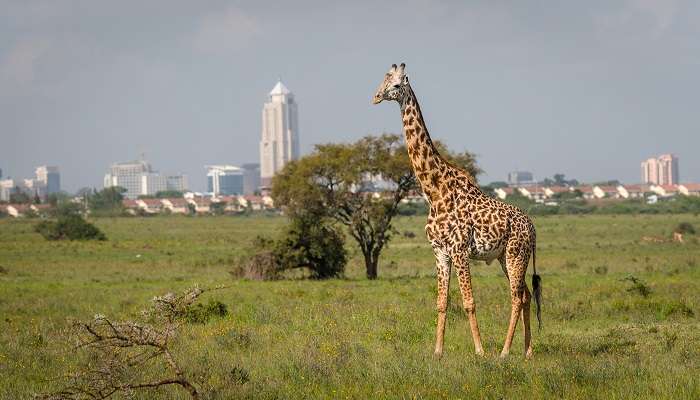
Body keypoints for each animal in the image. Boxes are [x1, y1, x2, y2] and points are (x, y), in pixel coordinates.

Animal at [372, 64, 540, 358]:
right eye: (383, 80)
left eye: (396, 85)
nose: (376, 96)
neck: (434, 191)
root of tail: (532, 228)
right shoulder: (440, 252)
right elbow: (442, 302)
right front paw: (437, 351)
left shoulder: (460, 250)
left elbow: (469, 302)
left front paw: (480, 351)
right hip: (504, 257)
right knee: (526, 295)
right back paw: (527, 351)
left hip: (515, 254)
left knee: (516, 298)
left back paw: (504, 351)